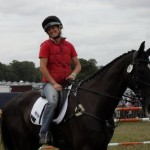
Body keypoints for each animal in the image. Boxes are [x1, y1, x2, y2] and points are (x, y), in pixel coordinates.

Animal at [0, 41, 150, 150]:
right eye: (141, 71)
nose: (148, 105)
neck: (94, 103)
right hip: (22, 143)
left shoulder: (102, 146)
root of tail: (9, 104)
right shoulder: (84, 147)